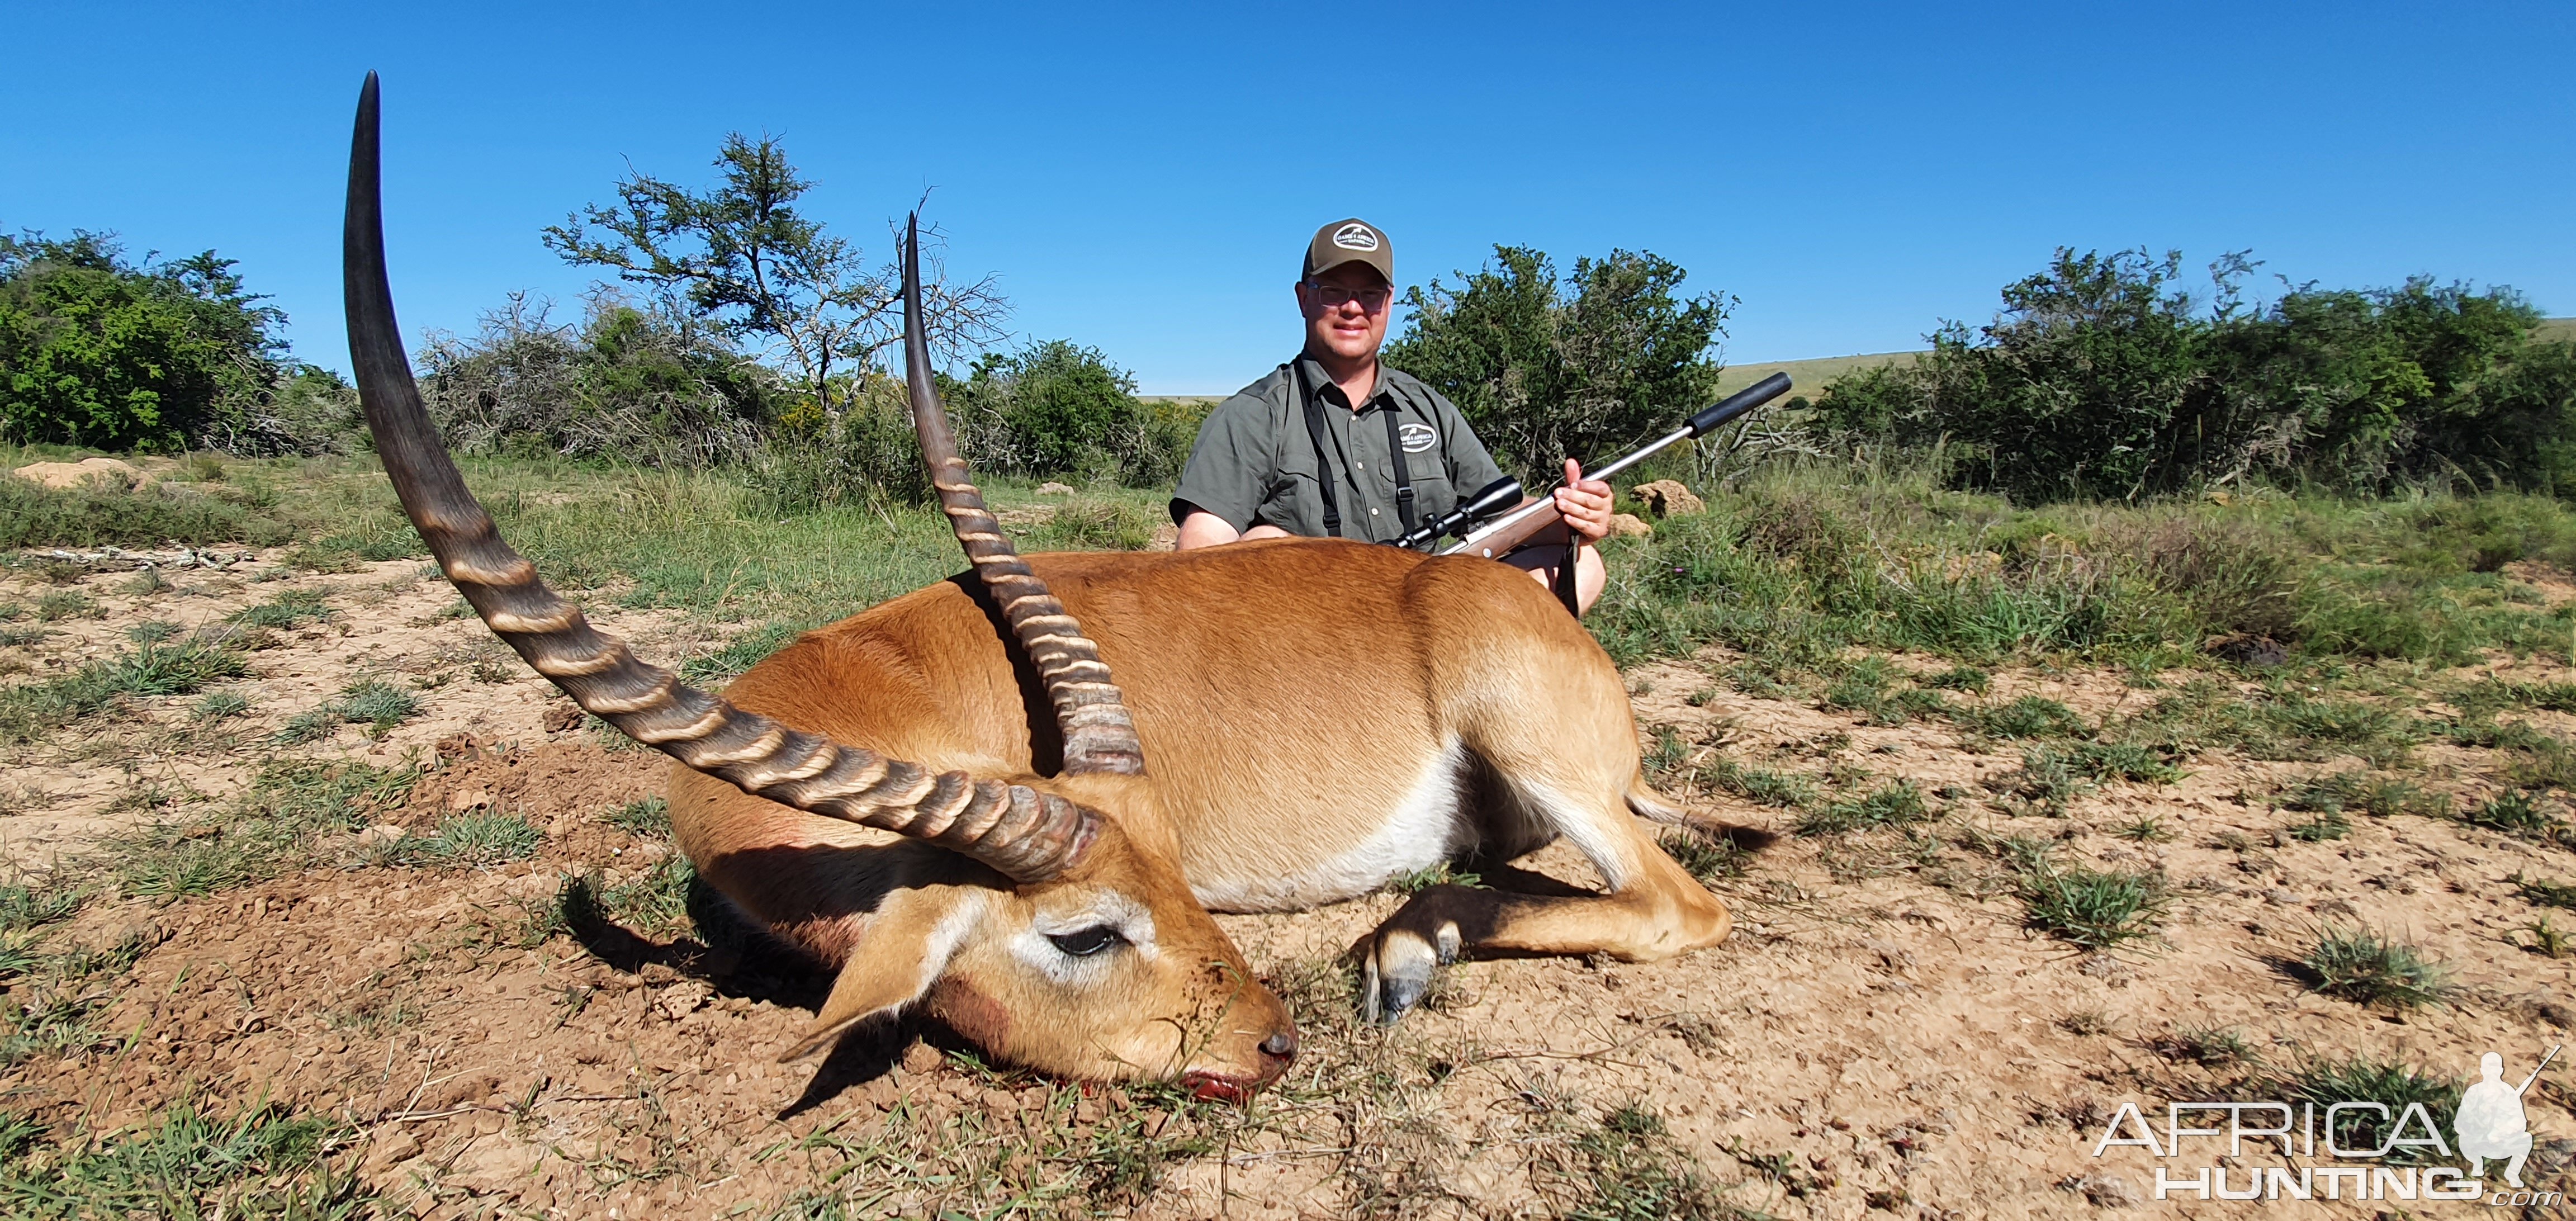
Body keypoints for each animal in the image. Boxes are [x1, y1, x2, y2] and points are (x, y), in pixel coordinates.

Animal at [342, 76, 1731, 1102]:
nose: (1275, 1041)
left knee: (1677, 905)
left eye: (1178, 865)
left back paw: (1401, 948)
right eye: (1086, 930)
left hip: (1548, 763)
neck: (887, 674)